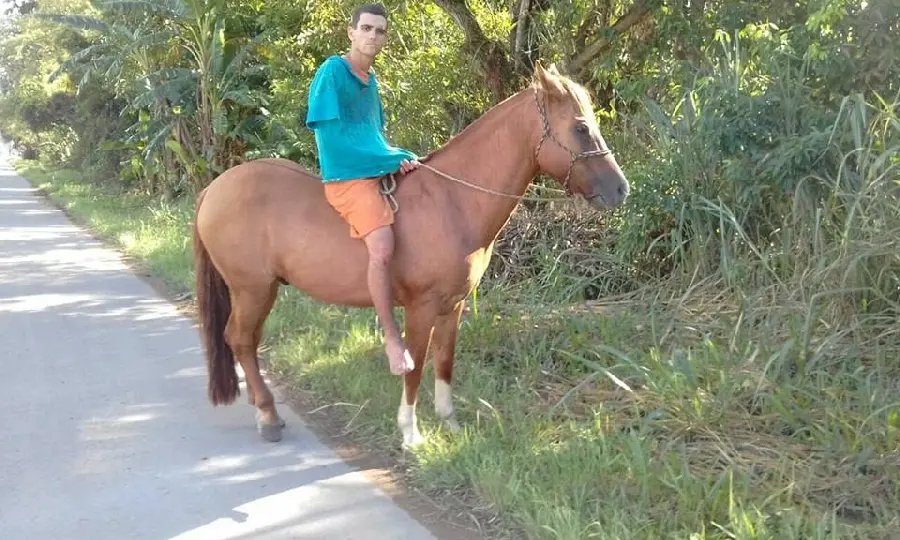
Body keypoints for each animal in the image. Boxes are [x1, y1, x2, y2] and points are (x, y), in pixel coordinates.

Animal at [192, 63, 629, 447]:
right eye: (581, 128)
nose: (621, 189)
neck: (451, 201)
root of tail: (214, 188)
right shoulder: (422, 307)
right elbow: (416, 364)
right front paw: (411, 432)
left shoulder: (453, 307)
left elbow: (445, 362)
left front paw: (450, 424)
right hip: (252, 288)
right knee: (239, 339)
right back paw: (267, 414)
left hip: (260, 291)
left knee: (247, 340)